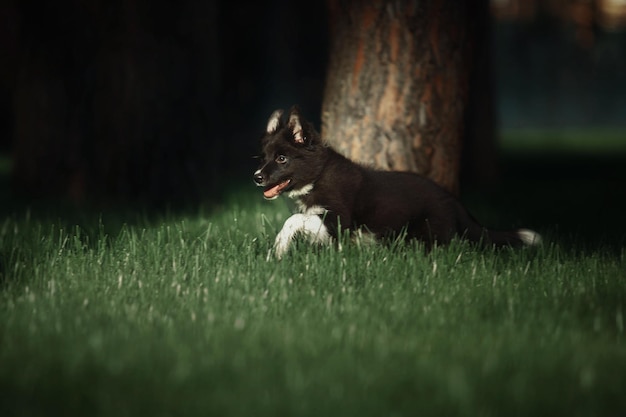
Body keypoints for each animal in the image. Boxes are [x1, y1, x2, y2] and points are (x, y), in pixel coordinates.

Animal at [251, 105, 540, 256]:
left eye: (282, 159)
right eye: (263, 158)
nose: (257, 177)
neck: (317, 176)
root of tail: (453, 200)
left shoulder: (338, 220)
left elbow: (294, 219)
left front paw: (278, 247)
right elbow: (300, 219)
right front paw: (281, 250)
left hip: (428, 229)